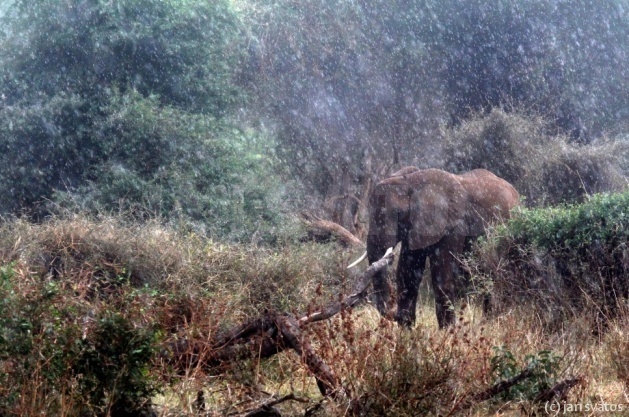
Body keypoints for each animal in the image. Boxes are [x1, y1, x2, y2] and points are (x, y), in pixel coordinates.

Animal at [350, 167, 516, 328]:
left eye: (396, 214)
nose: (396, 316)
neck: (411, 181)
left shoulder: (453, 225)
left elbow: (441, 273)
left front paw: (447, 331)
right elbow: (408, 272)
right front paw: (406, 329)